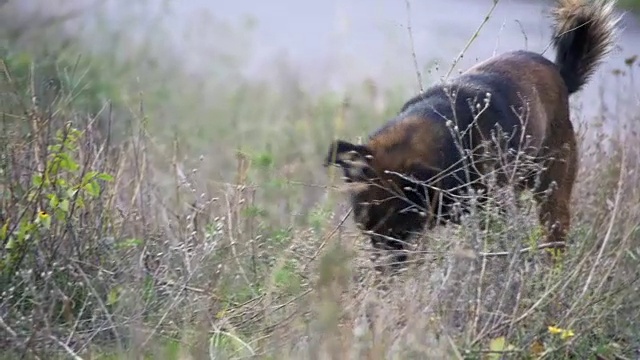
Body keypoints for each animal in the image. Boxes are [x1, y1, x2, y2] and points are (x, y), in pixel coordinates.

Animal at [324, 0, 620, 270]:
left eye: (400, 231)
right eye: (368, 231)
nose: (383, 274)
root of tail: (560, 74)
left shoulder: (492, 212)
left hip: (552, 194)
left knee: (554, 235)